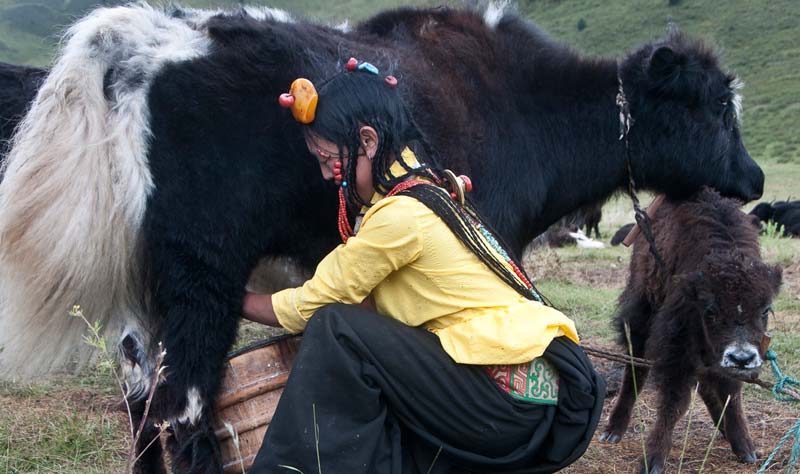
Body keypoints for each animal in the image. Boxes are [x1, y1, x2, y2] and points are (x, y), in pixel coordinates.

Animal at [600, 187, 780, 472]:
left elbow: (731, 391)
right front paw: (653, 459)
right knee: (634, 370)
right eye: (710, 310)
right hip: (641, 314)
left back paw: (723, 428)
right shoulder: (677, 346)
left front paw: (744, 447)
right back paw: (614, 429)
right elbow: (675, 401)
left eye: (765, 310)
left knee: (706, 381)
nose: (741, 358)